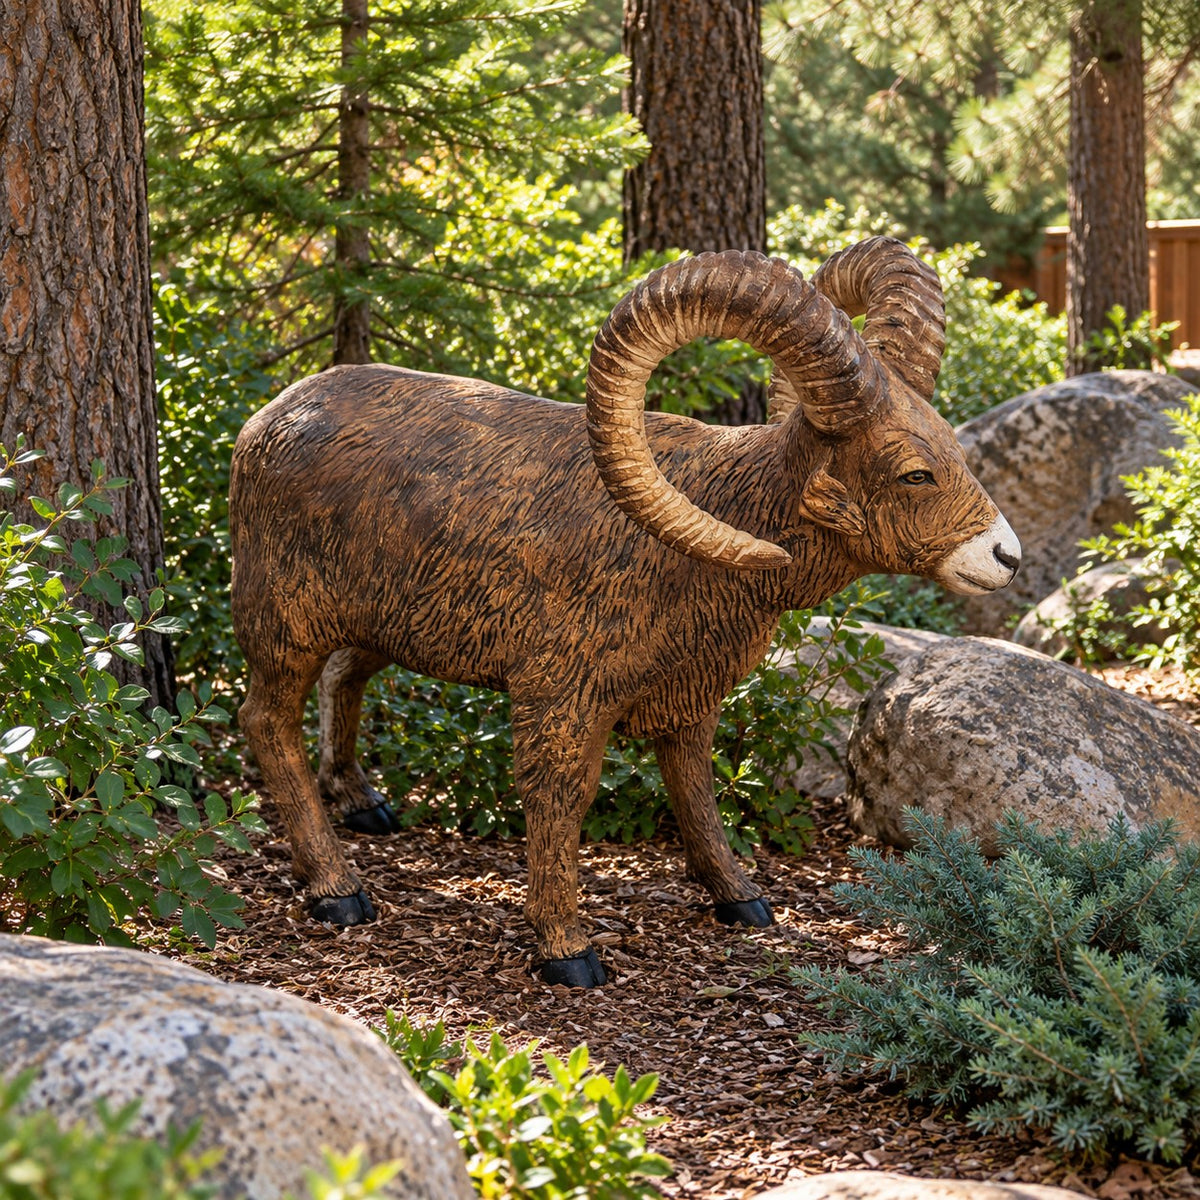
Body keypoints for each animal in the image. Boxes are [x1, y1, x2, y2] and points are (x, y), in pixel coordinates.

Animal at [230, 237, 1020, 987]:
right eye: (913, 472)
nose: (1005, 556)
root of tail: (265, 424)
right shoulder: (560, 700)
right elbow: (562, 800)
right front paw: (567, 953)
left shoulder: (690, 701)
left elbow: (694, 787)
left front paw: (743, 902)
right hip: (284, 629)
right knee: (266, 723)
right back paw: (336, 889)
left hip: (378, 628)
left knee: (344, 681)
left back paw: (365, 807)